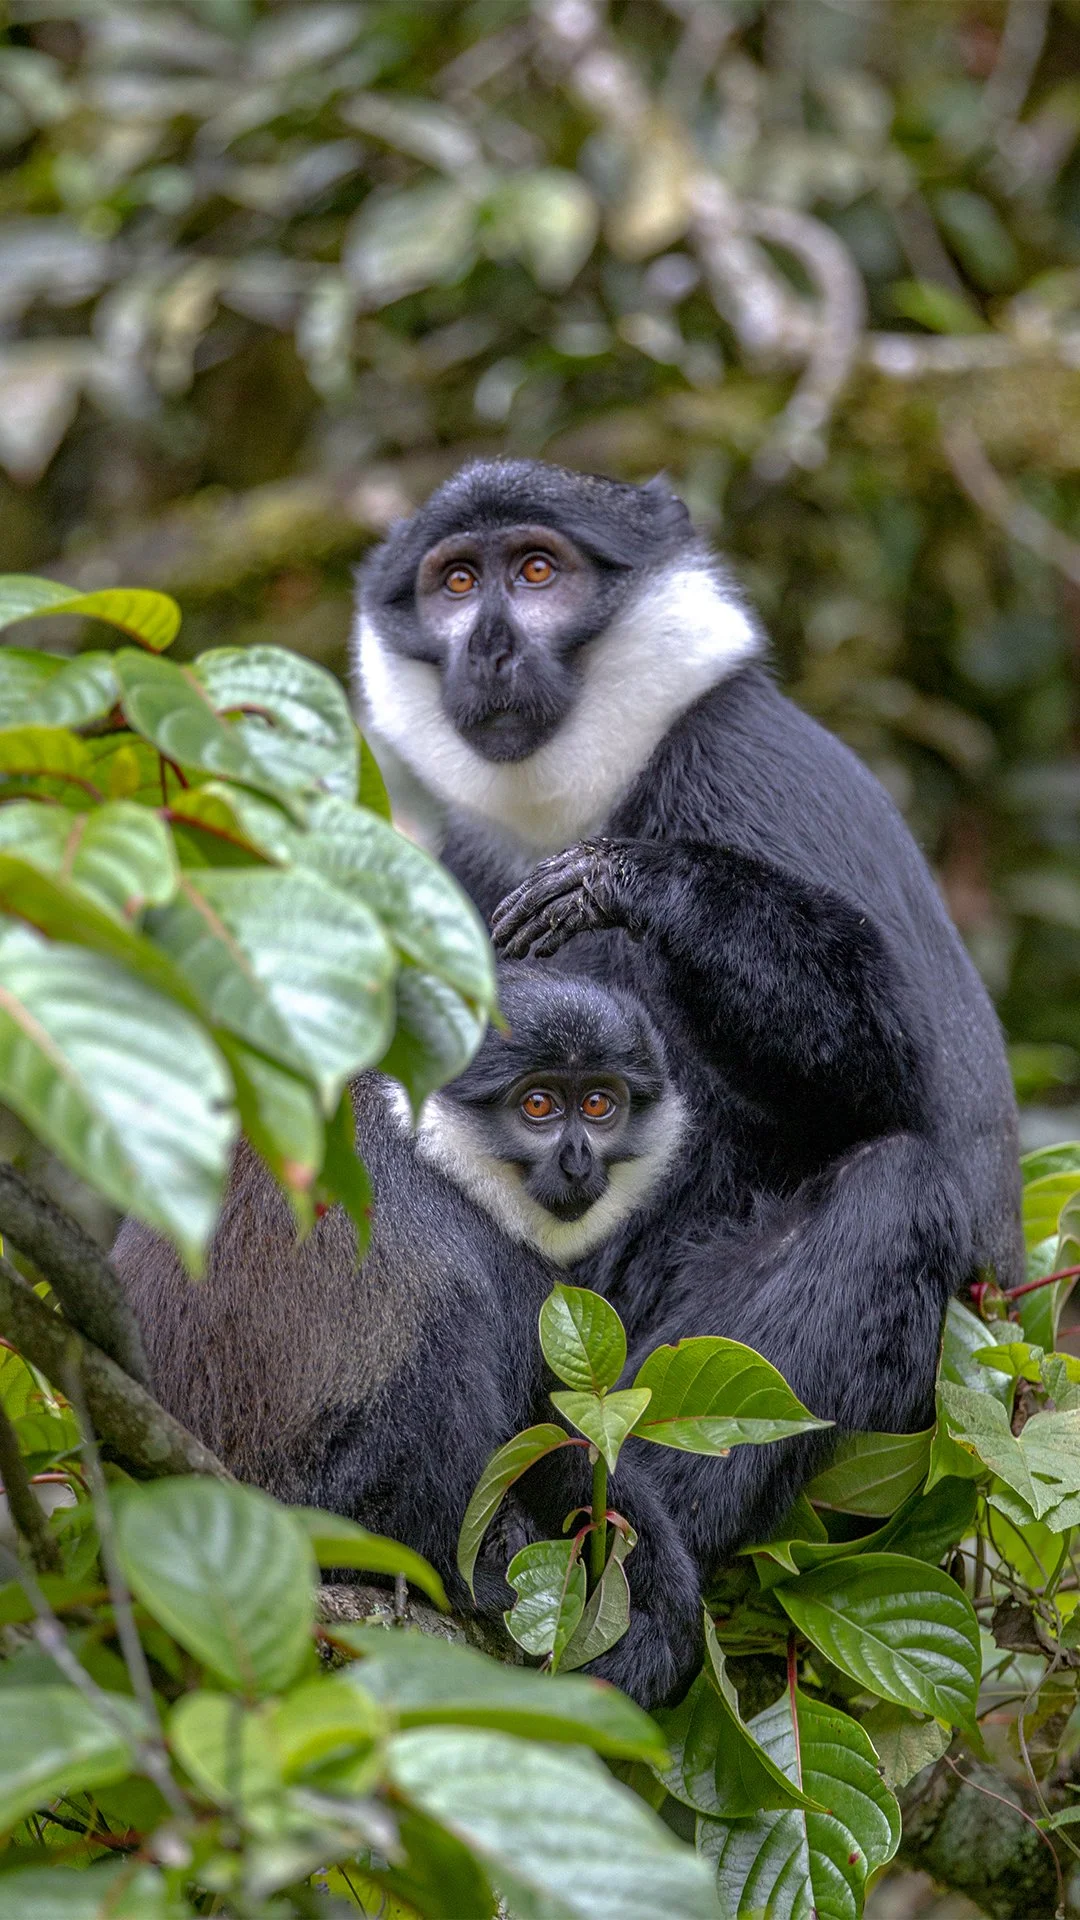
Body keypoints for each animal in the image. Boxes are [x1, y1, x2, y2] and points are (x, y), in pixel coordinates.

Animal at [112, 965, 703, 1708]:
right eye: (537, 1105)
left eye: (599, 1104)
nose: (576, 1162)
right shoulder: (497, 1258)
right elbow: (546, 1426)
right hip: (333, 1506)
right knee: (446, 1346)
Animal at [355, 456, 1023, 1573]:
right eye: (456, 584)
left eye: (536, 571)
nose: (488, 645)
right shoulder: (466, 860)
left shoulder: (742, 766)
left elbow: (904, 1078)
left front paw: (637, 882)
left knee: (898, 1186)